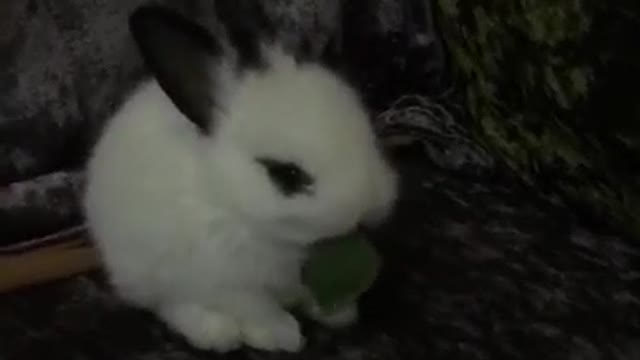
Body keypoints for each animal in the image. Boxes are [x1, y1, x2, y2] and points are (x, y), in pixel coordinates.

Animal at [82, 1, 398, 352]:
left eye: (369, 137)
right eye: (286, 174)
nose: (366, 208)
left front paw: (338, 313)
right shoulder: (228, 284)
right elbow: (258, 308)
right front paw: (283, 335)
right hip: (142, 270)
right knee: (167, 304)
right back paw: (215, 332)